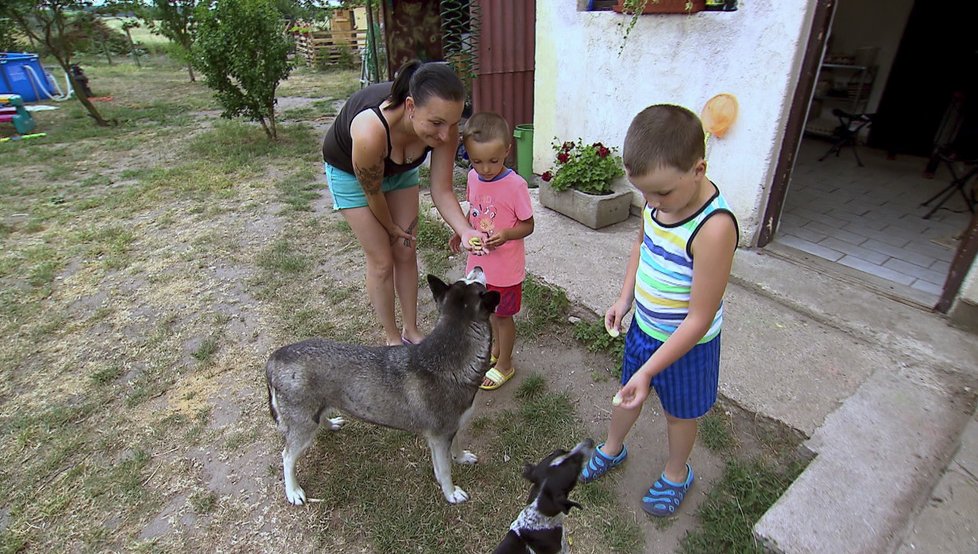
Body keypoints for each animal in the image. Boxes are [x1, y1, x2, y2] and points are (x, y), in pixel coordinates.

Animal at [264, 266, 500, 502]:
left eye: (469, 280)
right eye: (476, 283)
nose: (478, 267)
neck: (446, 358)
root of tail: (275, 357)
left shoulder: (451, 428)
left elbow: (456, 447)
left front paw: (461, 458)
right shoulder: (439, 438)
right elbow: (444, 470)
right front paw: (451, 493)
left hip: (314, 412)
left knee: (318, 418)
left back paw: (330, 424)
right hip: (302, 427)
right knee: (287, 456)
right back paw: (293, 491)